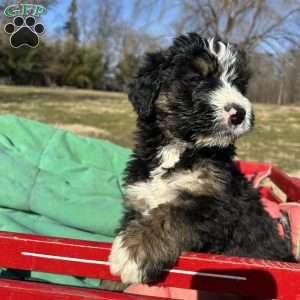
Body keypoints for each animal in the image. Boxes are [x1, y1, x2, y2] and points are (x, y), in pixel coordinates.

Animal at [108, 32, 296, 284]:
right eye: (196, 78)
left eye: (239, 84)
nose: (239, 112)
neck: (177, 149)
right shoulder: (138, 200)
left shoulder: (217, 206)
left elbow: (170, 214)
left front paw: (132, 252)